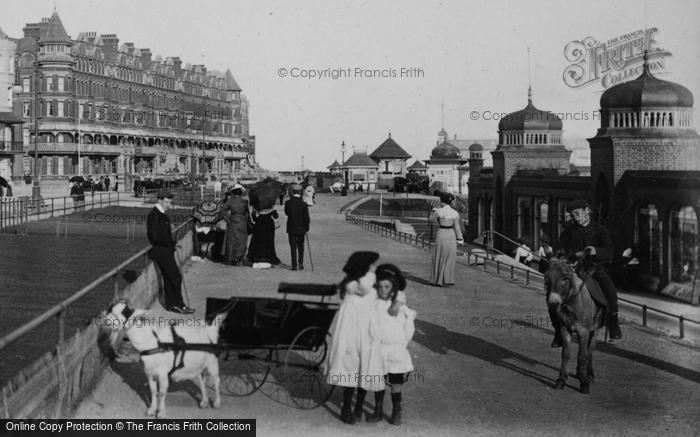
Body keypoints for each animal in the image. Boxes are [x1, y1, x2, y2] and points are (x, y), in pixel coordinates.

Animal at [544, 258, 604, 394]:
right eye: (546, 277)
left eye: (565, 278)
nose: (553, 303)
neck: (572, 301)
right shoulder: (565, 329)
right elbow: (565, 355)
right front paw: (561, 381)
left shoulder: (584, 331)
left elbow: (582, 356)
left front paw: (584, 384)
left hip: (595, 330)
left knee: (590, 351)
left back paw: (589, 375)